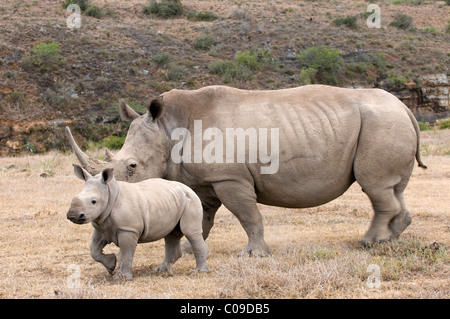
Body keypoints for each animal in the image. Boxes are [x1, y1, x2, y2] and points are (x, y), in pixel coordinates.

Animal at [65, 84, 428, 256]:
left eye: (132, 166)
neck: (169, 128)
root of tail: (405, 108)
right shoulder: (204, 181)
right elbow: (203, 218)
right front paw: (188, 250)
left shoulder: (229, 177)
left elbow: (248, 216)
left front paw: (253, 254)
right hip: (386, 124)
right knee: (392, 188)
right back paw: (390, 240)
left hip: (382, 124)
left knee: (375, 187)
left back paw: (370, 243)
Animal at [66, 165, 209, 280]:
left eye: (93, 201)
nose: (73, 215)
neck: (110, 194)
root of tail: (188, 188)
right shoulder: (101, 226)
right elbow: (94, 250)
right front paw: (111, 265)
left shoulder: (128, 229)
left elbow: (126, 253)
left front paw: (121, 278)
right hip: (173, 200)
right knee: (171, 234)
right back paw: (161, 270)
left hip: (191, 200)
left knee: (190, 232)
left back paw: (198, 272)